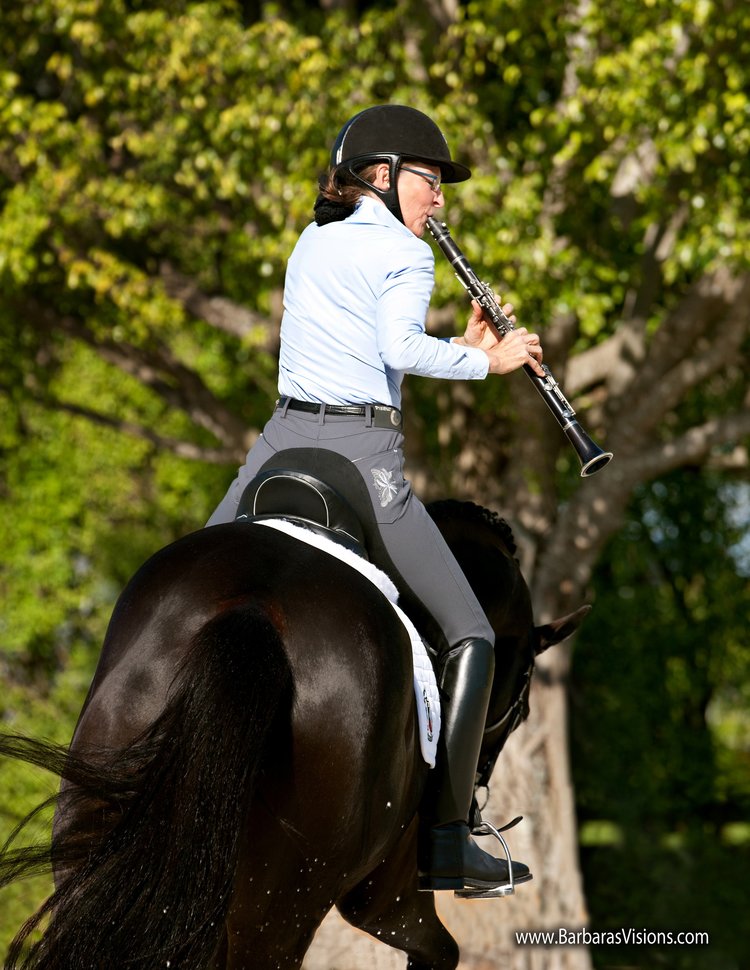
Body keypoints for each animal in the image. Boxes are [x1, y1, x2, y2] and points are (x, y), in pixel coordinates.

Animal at [0, 468, 588, 968]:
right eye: (523, 693)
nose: (475, 799)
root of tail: (257, 606)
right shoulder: (391, 899)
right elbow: (442, 951)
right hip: (281, 915)